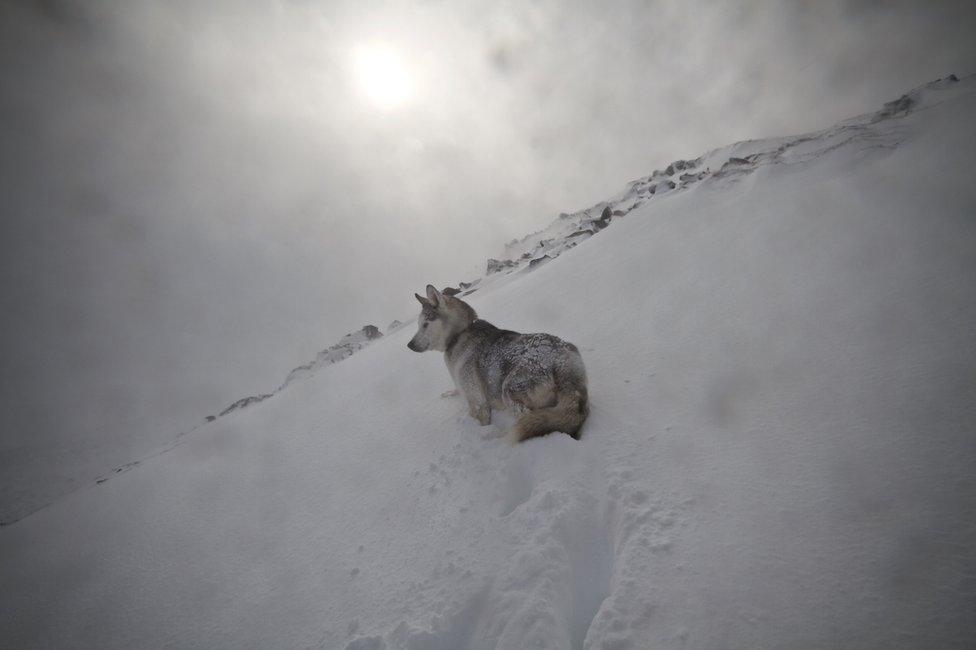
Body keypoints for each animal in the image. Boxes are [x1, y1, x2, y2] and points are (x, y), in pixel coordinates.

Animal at [406, 284, 588, 440]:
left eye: (425, 324)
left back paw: (496, 435)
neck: (459, 334)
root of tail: (560, 357)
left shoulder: (479, 405)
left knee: (528, 418)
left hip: (508, 389)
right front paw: (448, 393)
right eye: (419, 325)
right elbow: (457, 390)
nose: (409, 345)